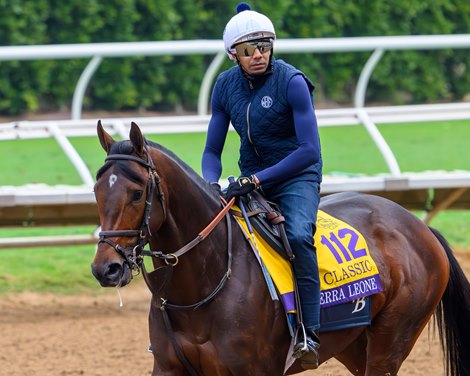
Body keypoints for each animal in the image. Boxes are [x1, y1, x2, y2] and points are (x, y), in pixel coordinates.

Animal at [92, 122, 470, 374]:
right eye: (97, 190)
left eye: (137, 193)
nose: (105, 268)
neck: (205, 282)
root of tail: (420, 227)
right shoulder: (169, 367)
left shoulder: (254, 370)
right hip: (353, 343)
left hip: (392, 339)